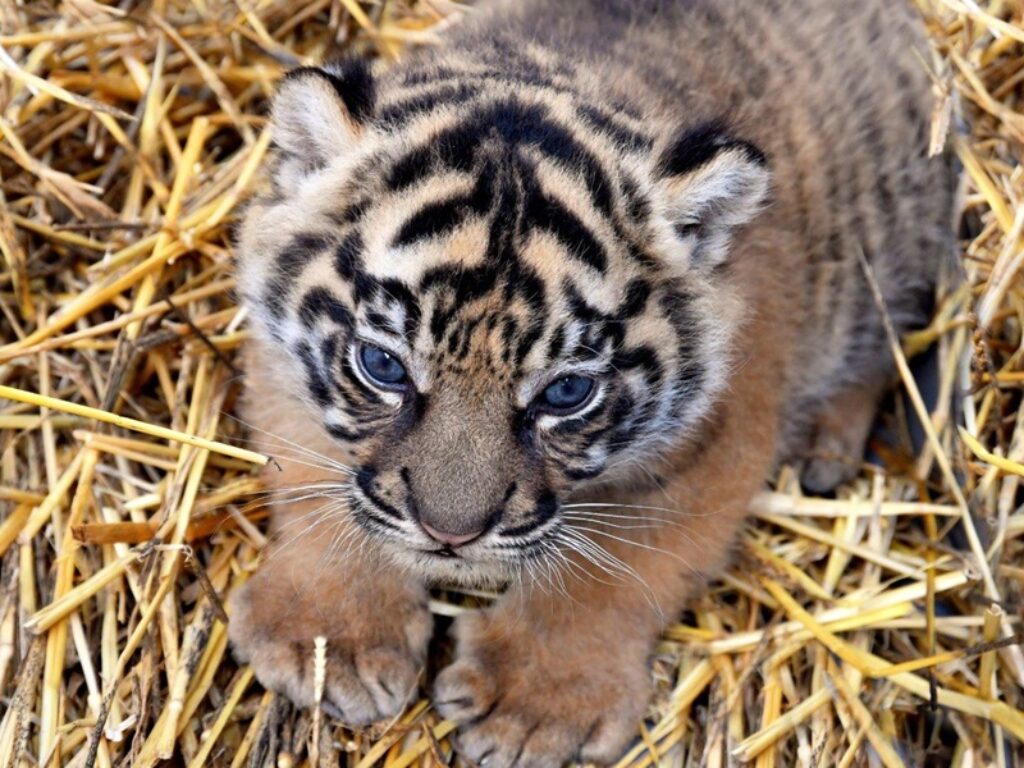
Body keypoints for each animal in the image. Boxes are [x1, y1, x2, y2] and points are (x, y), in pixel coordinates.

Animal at [228, 0, 956, 764]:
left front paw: (533, 707)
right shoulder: (278, 354)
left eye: (566, 394)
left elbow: (613, 566)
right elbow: (317, 476)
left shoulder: (719, 436)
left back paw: (826, 450)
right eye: (384, 366)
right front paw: (328, 638)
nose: (450, 535)